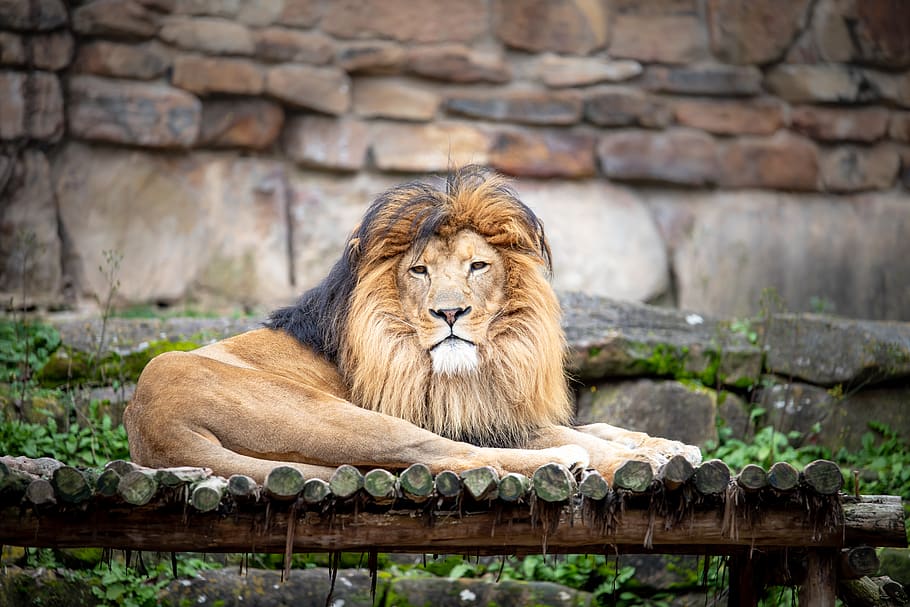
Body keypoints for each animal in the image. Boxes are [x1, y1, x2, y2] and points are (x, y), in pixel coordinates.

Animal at [124, 167, 701, 483]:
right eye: (419, 270)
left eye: (477, 266)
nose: (449, 313)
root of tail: (148, 423)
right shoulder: (465, 416)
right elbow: (581, 438)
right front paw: (640, 458)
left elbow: (604, 427)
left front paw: (669, 446)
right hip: (343, 415)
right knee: (453, 456)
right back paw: (565, 462)